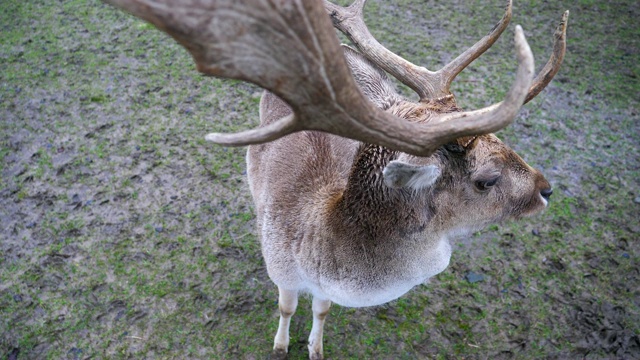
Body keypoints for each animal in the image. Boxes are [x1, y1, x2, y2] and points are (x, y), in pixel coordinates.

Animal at [105, 0, 568, 358]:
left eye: (505, 140)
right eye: (486, 180)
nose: (546, 189)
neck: (322, 253)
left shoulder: (324, 288)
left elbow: (322, 311)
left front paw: (315, 348)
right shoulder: (281, 270)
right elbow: (286, 309)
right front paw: (280, 347)